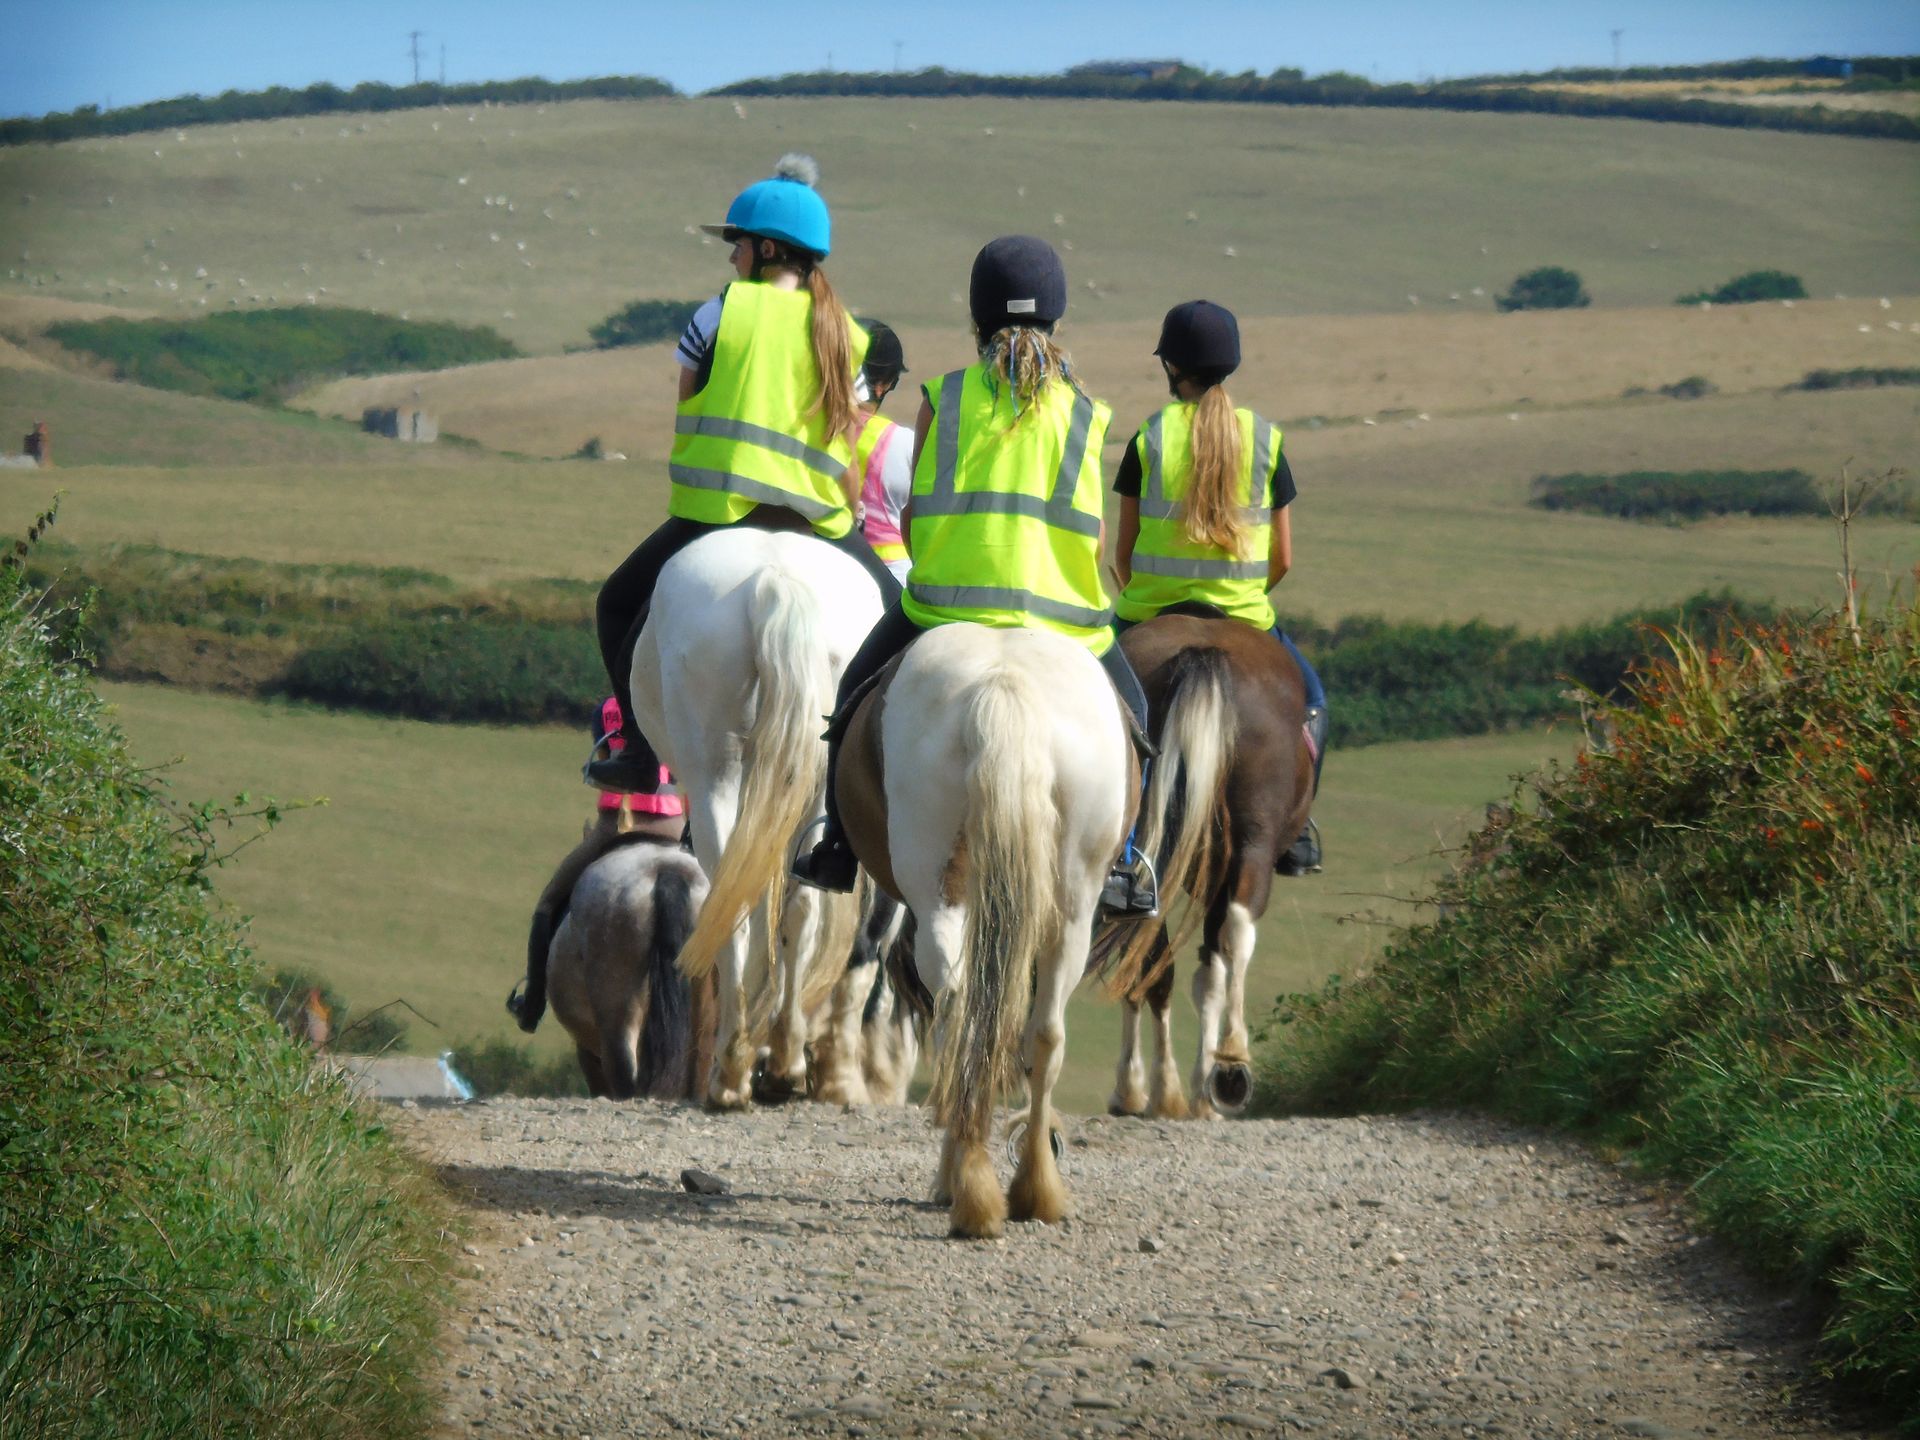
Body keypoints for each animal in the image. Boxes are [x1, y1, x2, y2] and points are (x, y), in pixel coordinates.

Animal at [625, 528, 883, 1109]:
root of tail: (773, 578)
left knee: (731, 903)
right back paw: (783, 1061)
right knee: (801, 904)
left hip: (714, 773)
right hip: (815, 776)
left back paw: (729, 1071)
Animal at [837, 623, 1135, 1239]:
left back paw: (967, 1185)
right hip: (1073, 902)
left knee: (958, 1016)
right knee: (1040, 1032)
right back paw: (1031, 1190)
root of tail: (1003, 682)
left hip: (942, 892)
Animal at [1098, 612, 1314, 1121]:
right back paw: (1227, 1067)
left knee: (1154, 959)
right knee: (1231, 936)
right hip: (1249, 843)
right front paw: (1196, 1086)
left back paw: (1169, 1084)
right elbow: (1208, 973)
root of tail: (1203, 652)